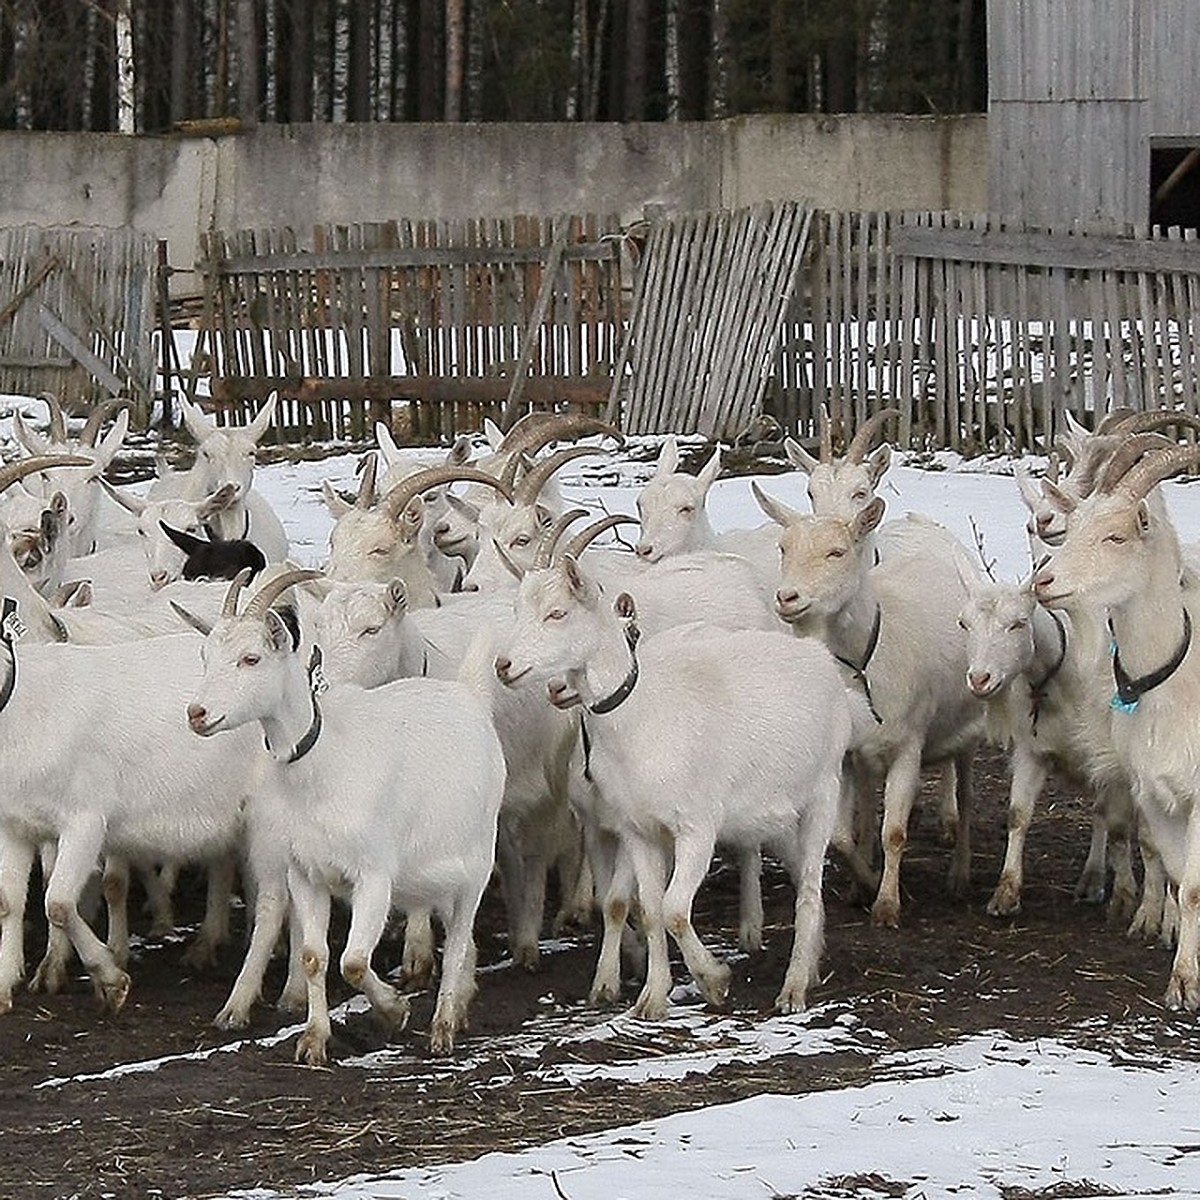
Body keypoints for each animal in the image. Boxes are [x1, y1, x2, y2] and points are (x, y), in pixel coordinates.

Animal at [182, 571, 506, 1060]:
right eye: (205, 655)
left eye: (251, 658)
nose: (197, 714)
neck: (324, 759)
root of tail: (468, 695)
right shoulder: (306, 873)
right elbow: (315, 956)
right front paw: (314, 1040)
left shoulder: (373, 876)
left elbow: (353, 962)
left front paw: (393, 1010)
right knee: (458, 935)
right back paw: (459, 1006)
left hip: (477, 859)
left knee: (459, 936)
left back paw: (443, 1026)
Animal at [492, 549, 859, 1012]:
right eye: (516, 610)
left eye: (557, 612)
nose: (504, 666)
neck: (642, 714)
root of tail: (818, 656)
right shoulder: (638, 831)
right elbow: (649, 909)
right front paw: (652, 997)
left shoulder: (696, 828)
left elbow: (674, 909)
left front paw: (714, 980)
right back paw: (808, 968)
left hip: (822, 791)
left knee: (809, 888)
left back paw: (792, 990)